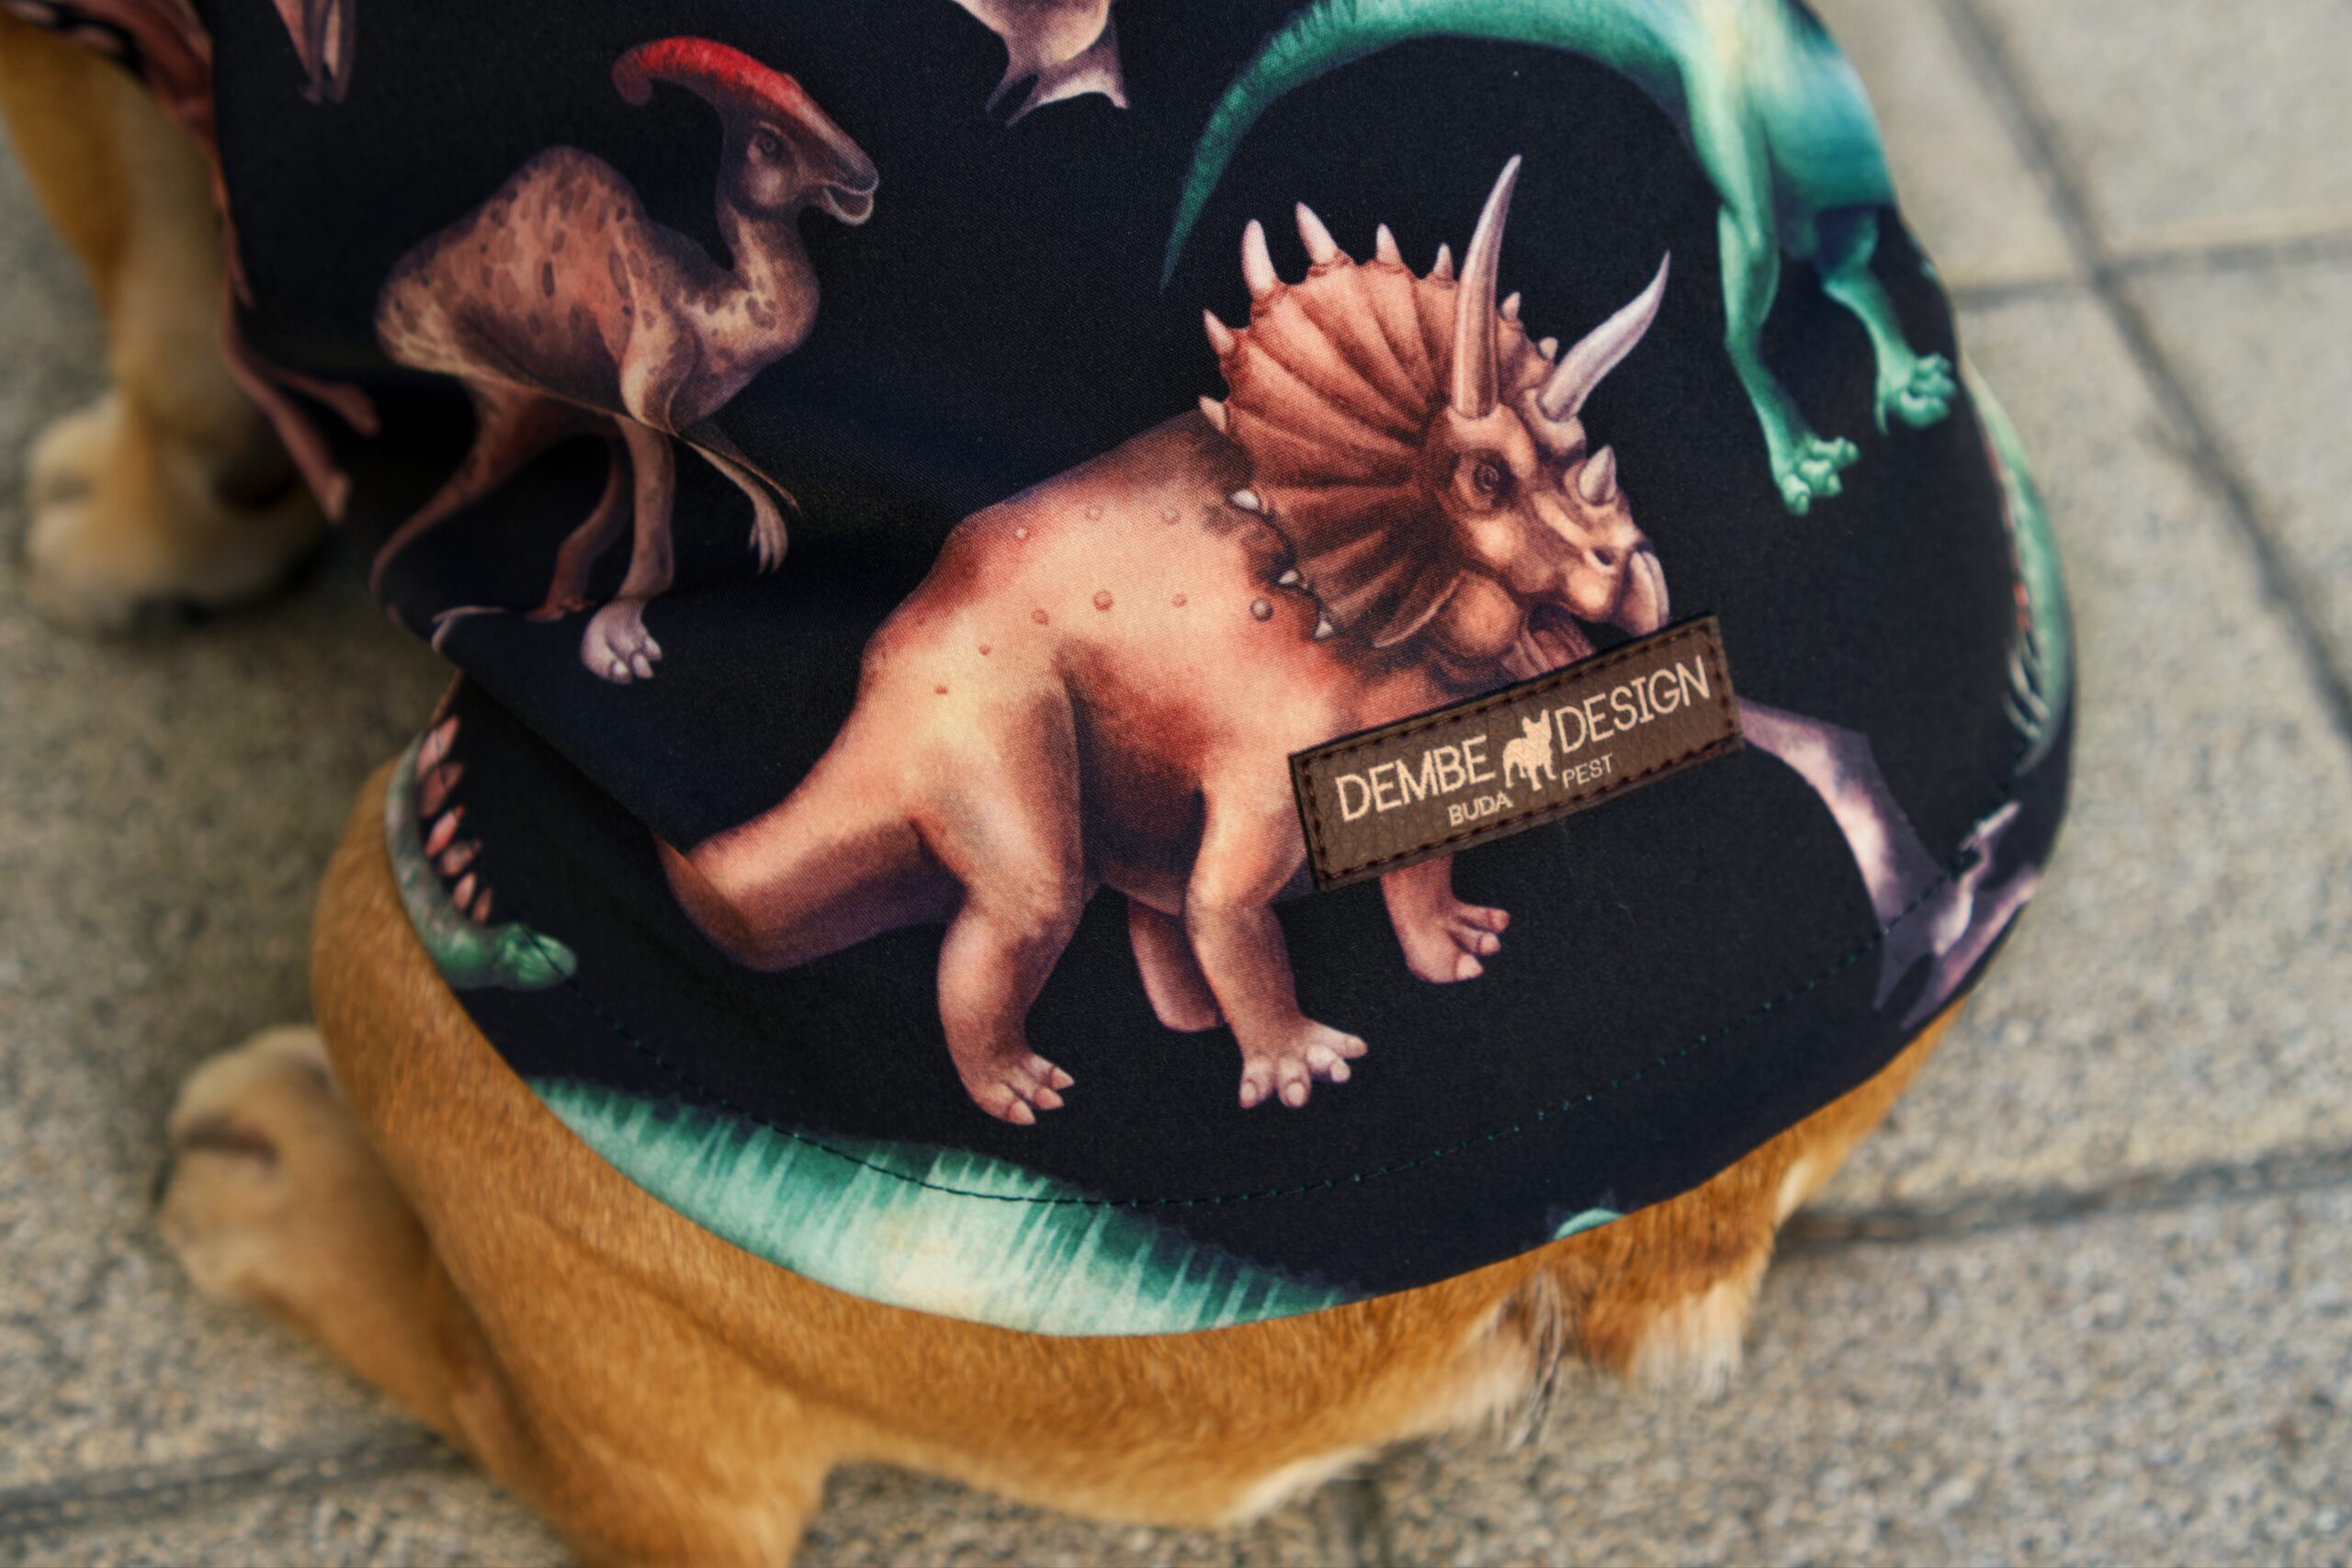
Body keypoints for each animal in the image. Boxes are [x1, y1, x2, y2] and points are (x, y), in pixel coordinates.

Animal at [2, 2, 2069, 1560]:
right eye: (1493, 480)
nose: (1623, 586)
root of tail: (1640, 1227)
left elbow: (163, 308)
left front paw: (132, 522)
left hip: (411, 958)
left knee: (621, 1471)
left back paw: (274, 1181)